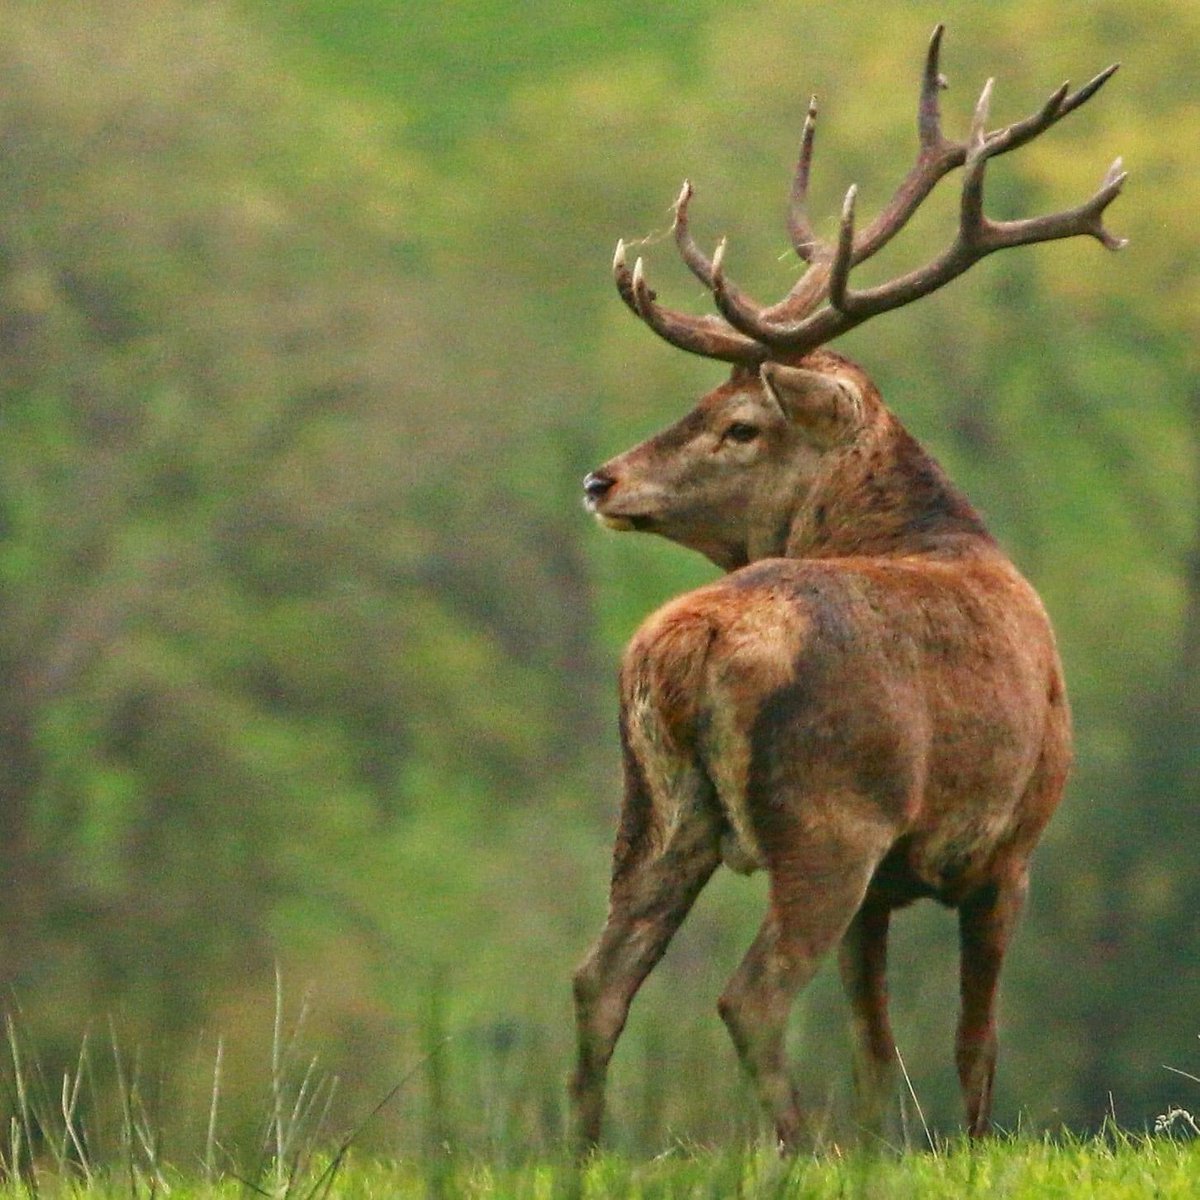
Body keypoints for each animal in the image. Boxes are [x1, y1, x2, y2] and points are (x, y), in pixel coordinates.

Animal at [569, 25, 1124, 1154]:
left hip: (655, 806)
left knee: (598, 982)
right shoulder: (1010, 847)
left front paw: (879, 1150)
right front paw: (969, 1152)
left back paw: (582, 1157)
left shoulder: (889, 890)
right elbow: (972, 1046)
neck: (938, 535)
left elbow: (876, 1046)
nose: (602, 481)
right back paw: (792, 1149)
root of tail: (682, 650)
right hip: (828, 817)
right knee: (750, 996)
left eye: (740, 422)